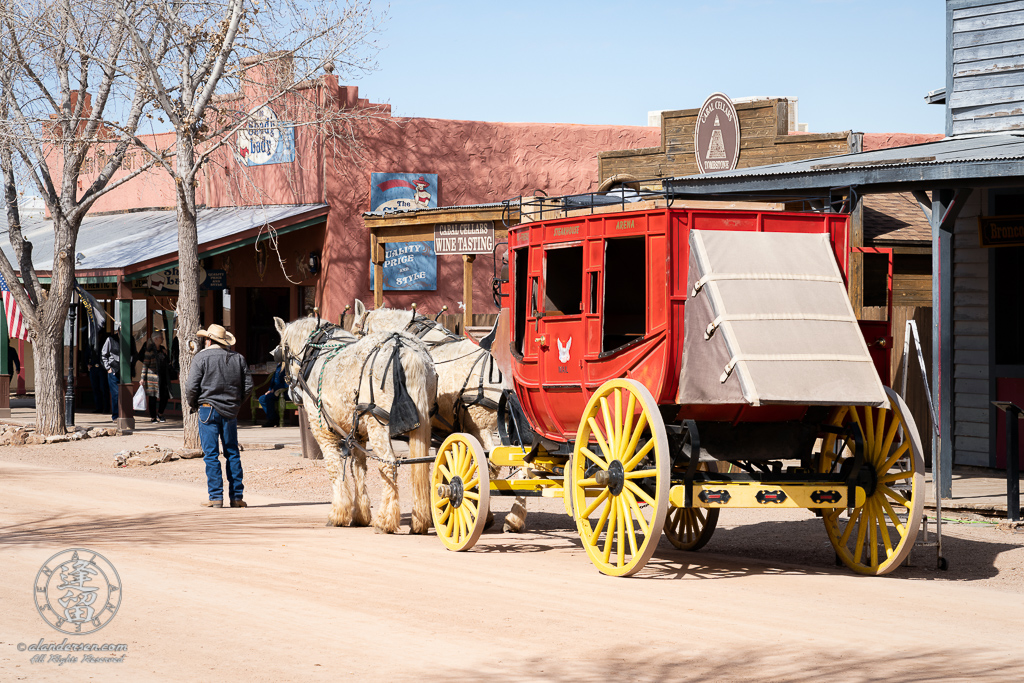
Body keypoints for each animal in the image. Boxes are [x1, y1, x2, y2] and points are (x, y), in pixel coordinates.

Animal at [272, 315, 436, 532]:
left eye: (283, 351)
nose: (291, 391)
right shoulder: (357, 435)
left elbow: (334, 468)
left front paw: (338, 514)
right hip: (423, 424)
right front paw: (360, 515)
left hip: (379, 425)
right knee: (421, 465)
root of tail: (405, 349)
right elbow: (358, 469)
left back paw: (385, 520)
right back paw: (420, 522)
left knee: (388, 465)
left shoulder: (323, 432)